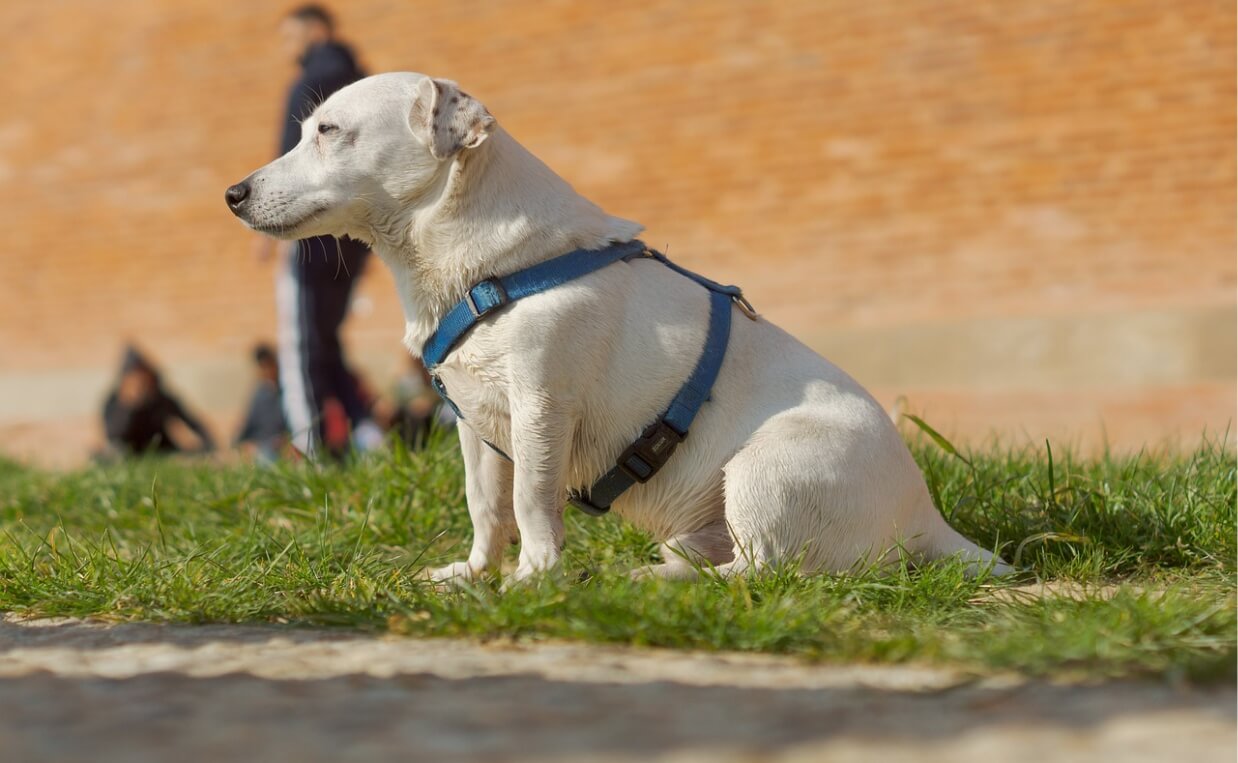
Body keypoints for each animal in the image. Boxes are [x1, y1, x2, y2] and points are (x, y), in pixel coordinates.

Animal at [227, 73, 1010, 584]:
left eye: (329, 131)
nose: (233, 193)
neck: (483, 267)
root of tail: (927, 519)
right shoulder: (472, 424)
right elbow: (486, 507)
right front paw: (474, 575)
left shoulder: (542, 407)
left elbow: (530, 503)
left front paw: (533, 580)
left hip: (766, 470)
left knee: (768, 573)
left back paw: (651, 582)